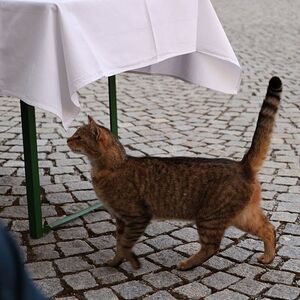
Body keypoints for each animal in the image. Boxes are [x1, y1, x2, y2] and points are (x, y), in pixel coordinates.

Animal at [67, 76, 282, 270]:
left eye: (78, 137)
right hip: (243, 216)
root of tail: (242, 165)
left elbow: (125, 244)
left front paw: (133, 263)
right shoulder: (121, 220)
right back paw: (268, 257)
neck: (113, 166)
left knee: (212, 247)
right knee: (269, 228)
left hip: (209, 217)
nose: (68, 140)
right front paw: (115, 262)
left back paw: (187, 264)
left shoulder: (136, 217)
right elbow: (119, 244)